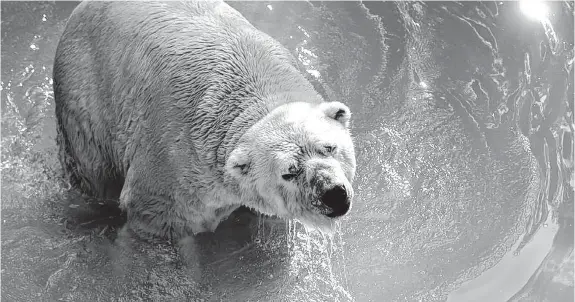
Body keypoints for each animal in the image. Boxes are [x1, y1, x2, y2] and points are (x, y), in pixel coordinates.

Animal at [56, 0, 358, 241]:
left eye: (329, 147)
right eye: (288, 172)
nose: (333, 194)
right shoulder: (173, 160)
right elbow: (156, 220)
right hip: (88, 99)